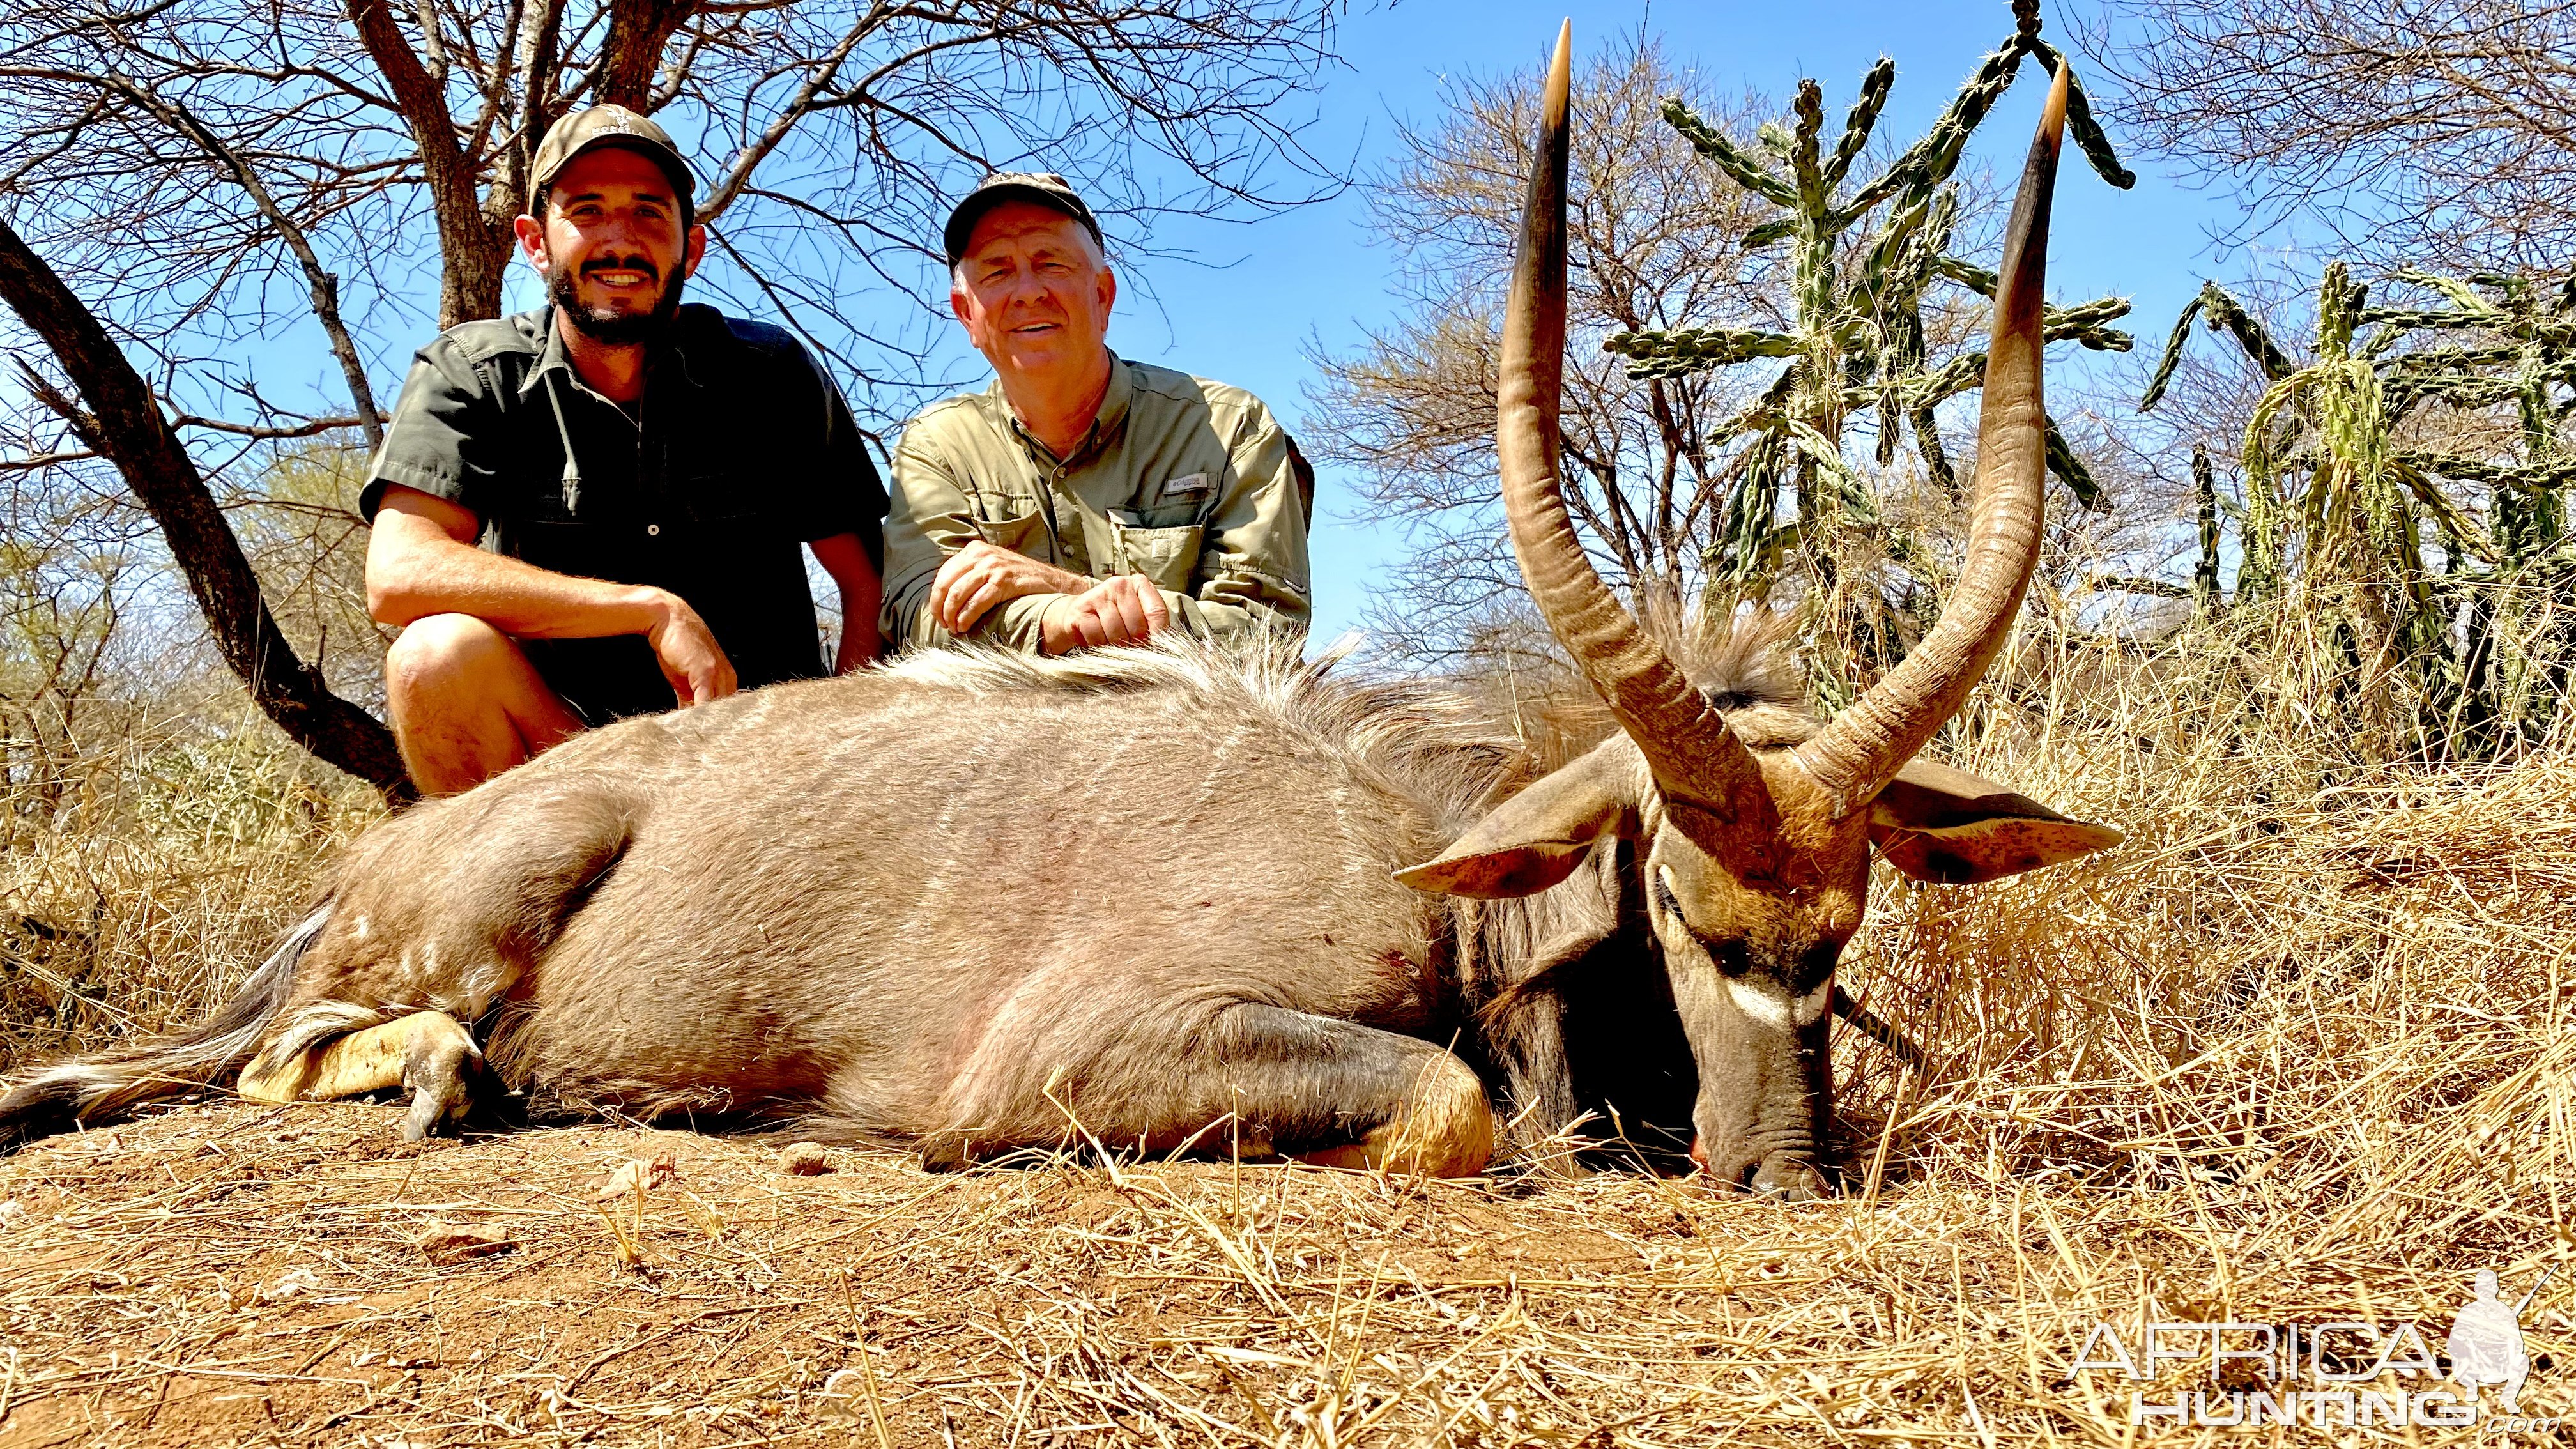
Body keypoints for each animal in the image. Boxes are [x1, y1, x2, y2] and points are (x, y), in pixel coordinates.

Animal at [0, 31, 2112, 1196]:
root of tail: (360, 881)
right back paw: (460, 1080)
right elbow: (1449, 1106)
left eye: (1846, 923)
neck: (1418, 850)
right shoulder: (1088, 1051)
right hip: (474, 908)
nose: (1783, 1172)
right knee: (298, 1052)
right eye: (1678, 900)